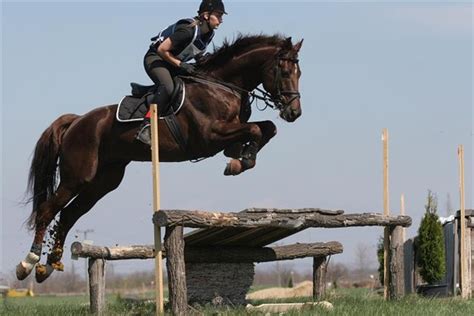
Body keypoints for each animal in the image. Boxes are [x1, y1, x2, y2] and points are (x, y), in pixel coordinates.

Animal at [17, 34, 304, 282]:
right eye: (285, 72)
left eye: (299, 73)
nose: (294, 113)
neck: (221, 86)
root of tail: (77, 121)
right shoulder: (209, 136)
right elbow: (256, 129)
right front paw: (240, 161)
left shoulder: (229, 133)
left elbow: (267, 128)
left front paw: (241, 158)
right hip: (77, 177)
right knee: (47, 211)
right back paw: (28, 264)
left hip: (103, 182)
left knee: (68, 214)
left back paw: (48, 267)